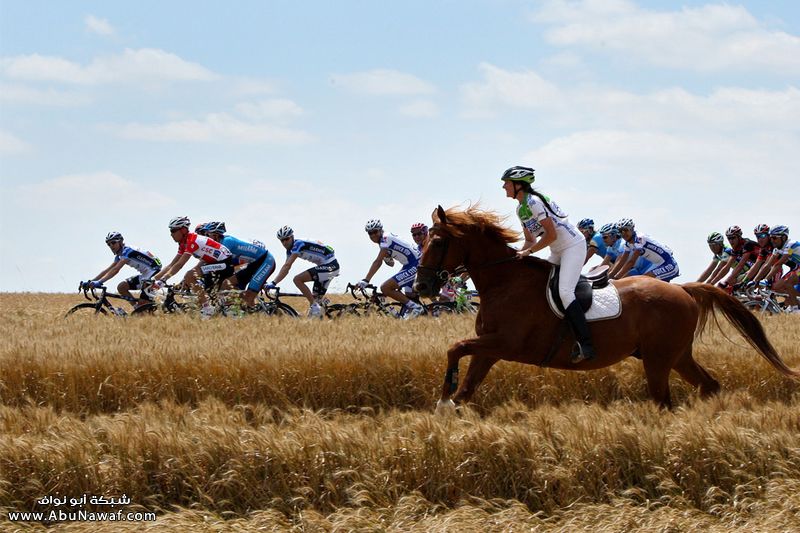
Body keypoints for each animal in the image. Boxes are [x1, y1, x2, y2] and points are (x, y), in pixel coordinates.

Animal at [416, 205, 796, 408]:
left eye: (438, 241)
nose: (421, 287)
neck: (503, 282)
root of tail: (683, 291)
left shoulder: (507, 344)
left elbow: (455, 347)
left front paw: (443, 397)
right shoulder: (489, 349)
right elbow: (466, 385)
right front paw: (448, 406)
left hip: (659, 359)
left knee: (664, 400)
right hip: (676, 355)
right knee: (708, 385)